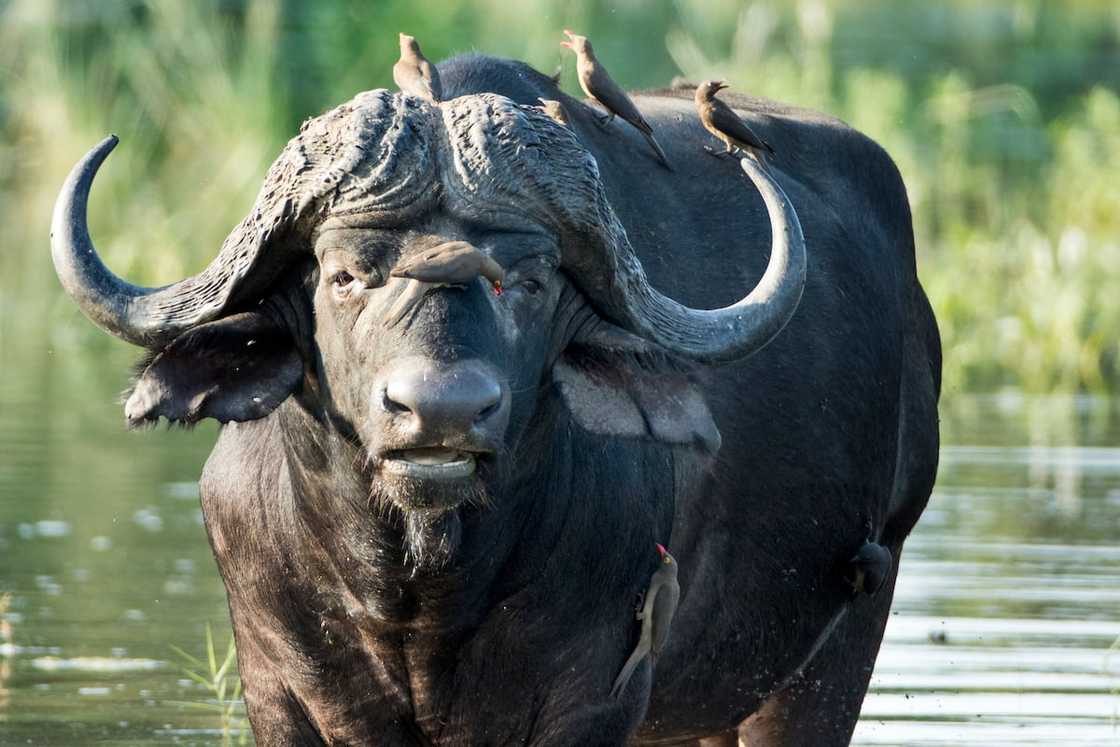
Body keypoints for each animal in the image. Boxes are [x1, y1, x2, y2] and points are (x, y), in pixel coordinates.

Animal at [50, 55, 936, 743]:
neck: (416, 596)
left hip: (838, 642)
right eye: (344, 274)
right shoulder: (278, 691)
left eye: (530, 278)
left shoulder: (595, 700)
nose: (441, 412)